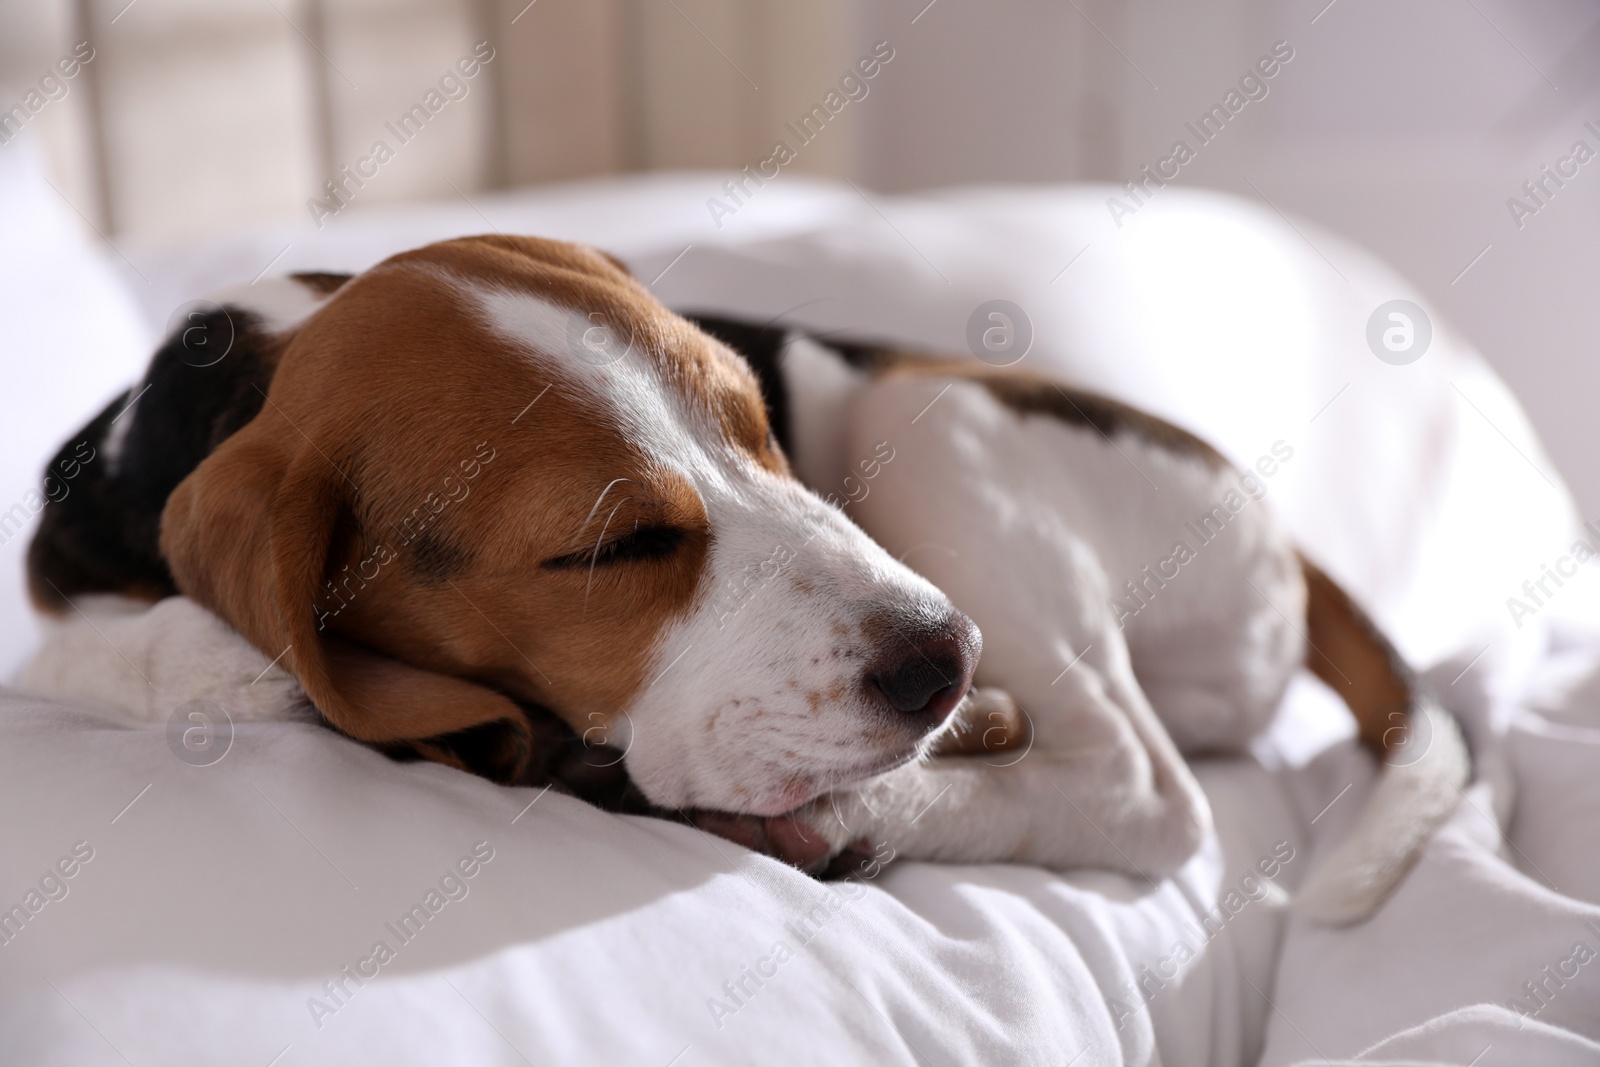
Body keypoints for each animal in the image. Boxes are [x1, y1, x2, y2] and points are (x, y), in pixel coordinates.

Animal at [25, 235, 1465, 927]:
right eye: (610, 546)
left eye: (760, 424)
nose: (947, 658)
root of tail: (1282, 537)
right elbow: (117, 650)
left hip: (928, 411)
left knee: (1142, 788)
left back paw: (870, 807)